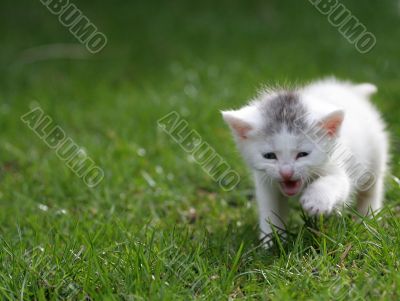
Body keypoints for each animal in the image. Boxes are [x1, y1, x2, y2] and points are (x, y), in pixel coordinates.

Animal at [220, 77, 390, 241]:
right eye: (269, 156)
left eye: (302, 154)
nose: (286, 173)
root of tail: (353, 91)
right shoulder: (265, 181)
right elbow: (270, 208)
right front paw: (271, 241)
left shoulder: (336, 163)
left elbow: (336, 182)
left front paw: (316, 201)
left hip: (376, 156)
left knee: (371, 189)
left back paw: (368, 220)